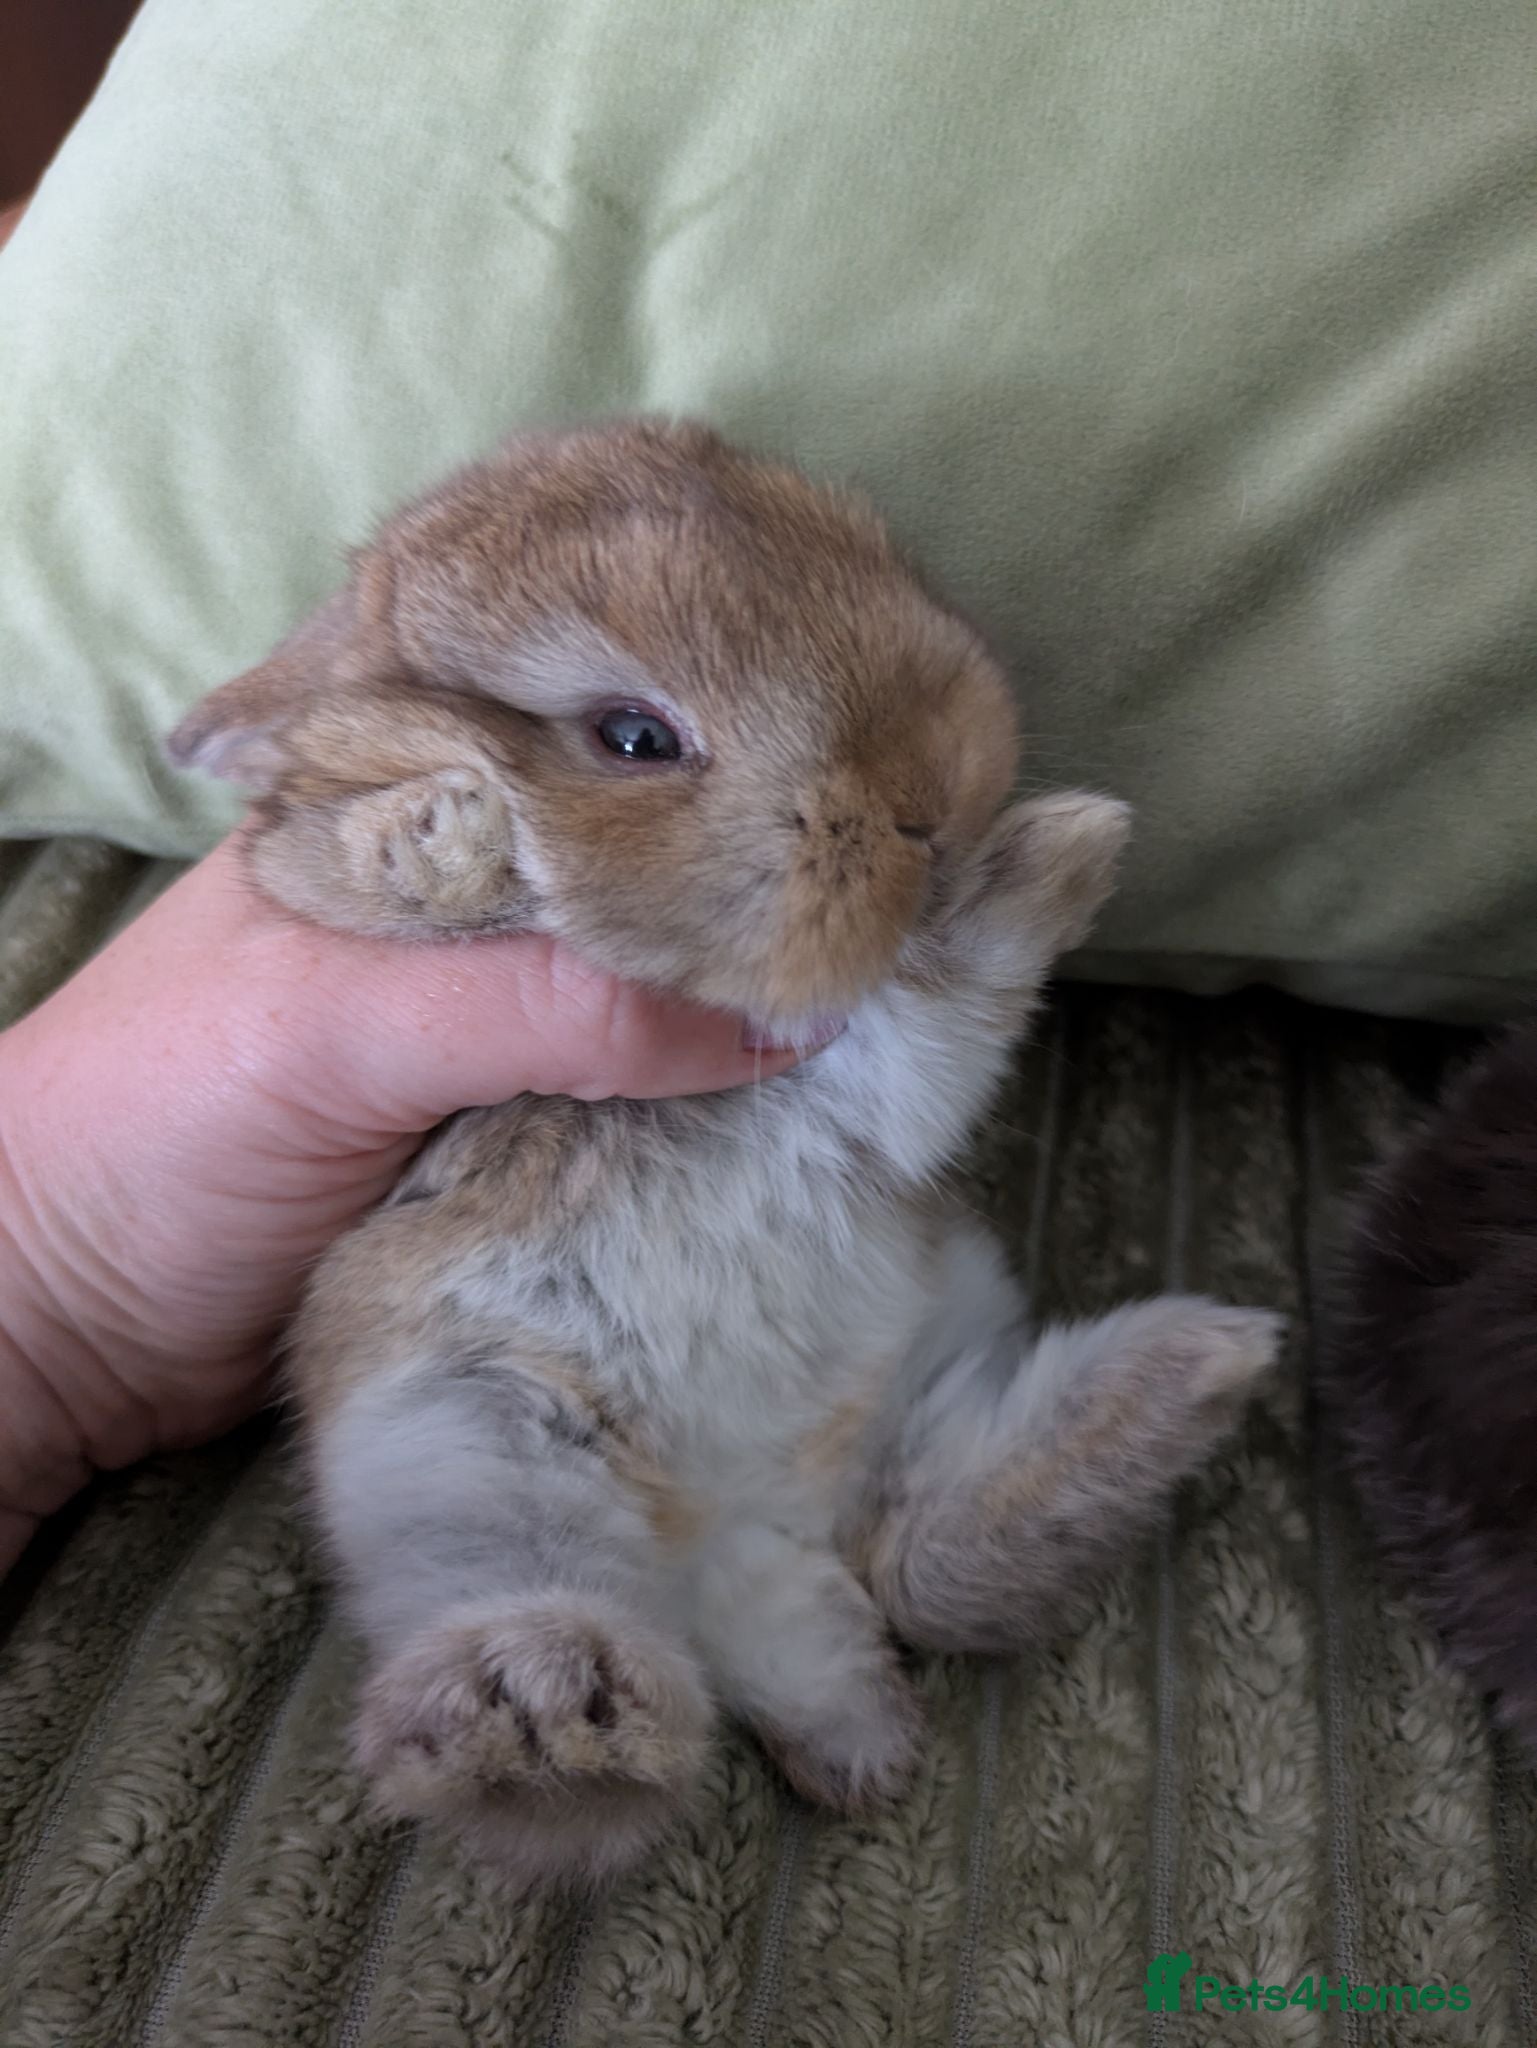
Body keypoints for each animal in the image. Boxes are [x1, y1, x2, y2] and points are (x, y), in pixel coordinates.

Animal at [169, 419, 1282, 1887]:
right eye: (635, 735)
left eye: (844, 538)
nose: (942, 784)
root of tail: (756, 1527)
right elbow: (371, 867)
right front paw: (445, 831)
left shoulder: (862, 1094)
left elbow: (936, 1020)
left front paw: (1066, 843)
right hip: (469, 1436)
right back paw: (549, 1719)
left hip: (919, 1360)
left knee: (917, 1550)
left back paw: (1195, 1366)